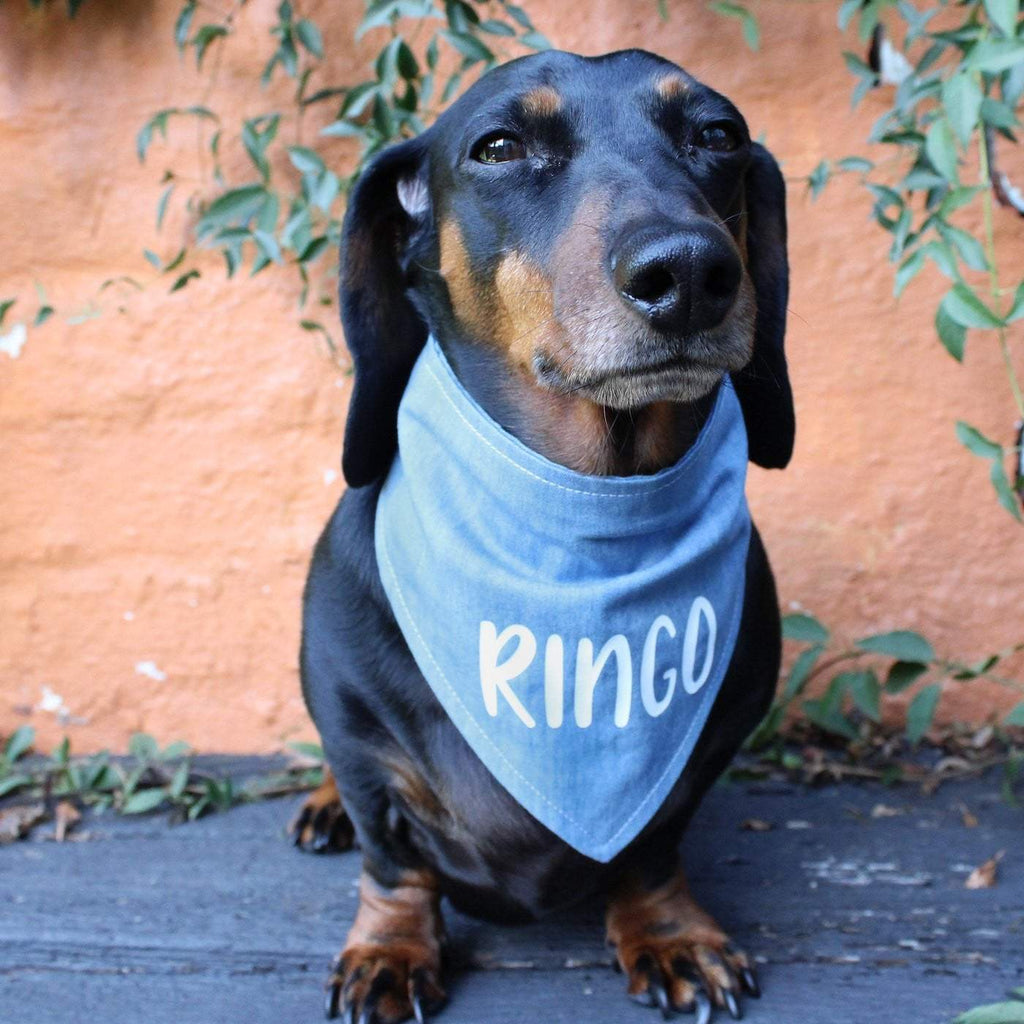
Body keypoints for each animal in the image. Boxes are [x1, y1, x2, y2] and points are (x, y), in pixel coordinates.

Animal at [292, 48, 794, 1024]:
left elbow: (654, 846)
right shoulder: (357, 735)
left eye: (718, 134)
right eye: (498, 146)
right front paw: (388, 950)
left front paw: (669, 932)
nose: (689, 273)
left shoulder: (703, 758)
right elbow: (391, 858)